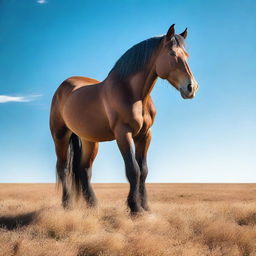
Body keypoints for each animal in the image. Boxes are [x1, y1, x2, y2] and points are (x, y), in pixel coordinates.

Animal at [49, 24, 198, 214]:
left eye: (187, 55)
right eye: (172, 54)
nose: (191, 87)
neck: (134, 94)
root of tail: (63, 87)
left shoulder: (144, 135)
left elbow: (143, 170)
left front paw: (146, 207)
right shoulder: (123, 133)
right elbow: (133, 170)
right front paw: (135, 208)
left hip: (90, 140)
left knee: (84, 170)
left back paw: (93, 205)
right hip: (60, 136)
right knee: (63, 168)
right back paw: (67, 204)